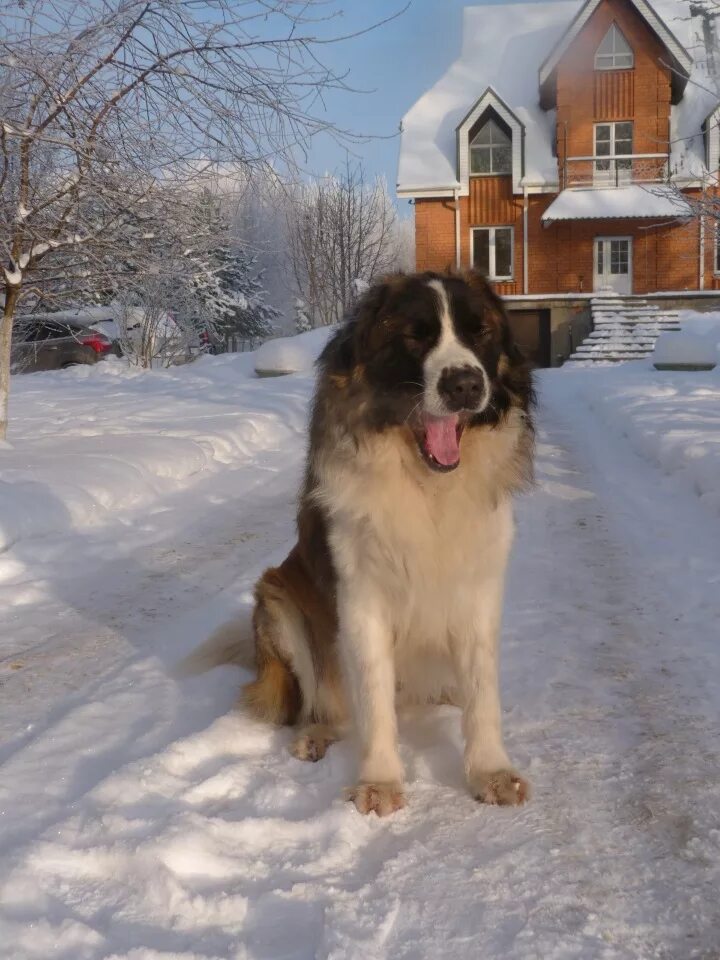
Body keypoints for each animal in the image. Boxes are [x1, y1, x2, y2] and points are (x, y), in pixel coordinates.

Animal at [188, 270, 536, 816]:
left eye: (479, 333)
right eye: (415, 336)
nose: (465, 383)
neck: (426, 487)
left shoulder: (477, 590)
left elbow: (483, 693)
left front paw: (490, 771)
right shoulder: (360, 598)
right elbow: (372, 697)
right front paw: (380, 781)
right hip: (277, 599)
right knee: (321, 699)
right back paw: (315, 734)